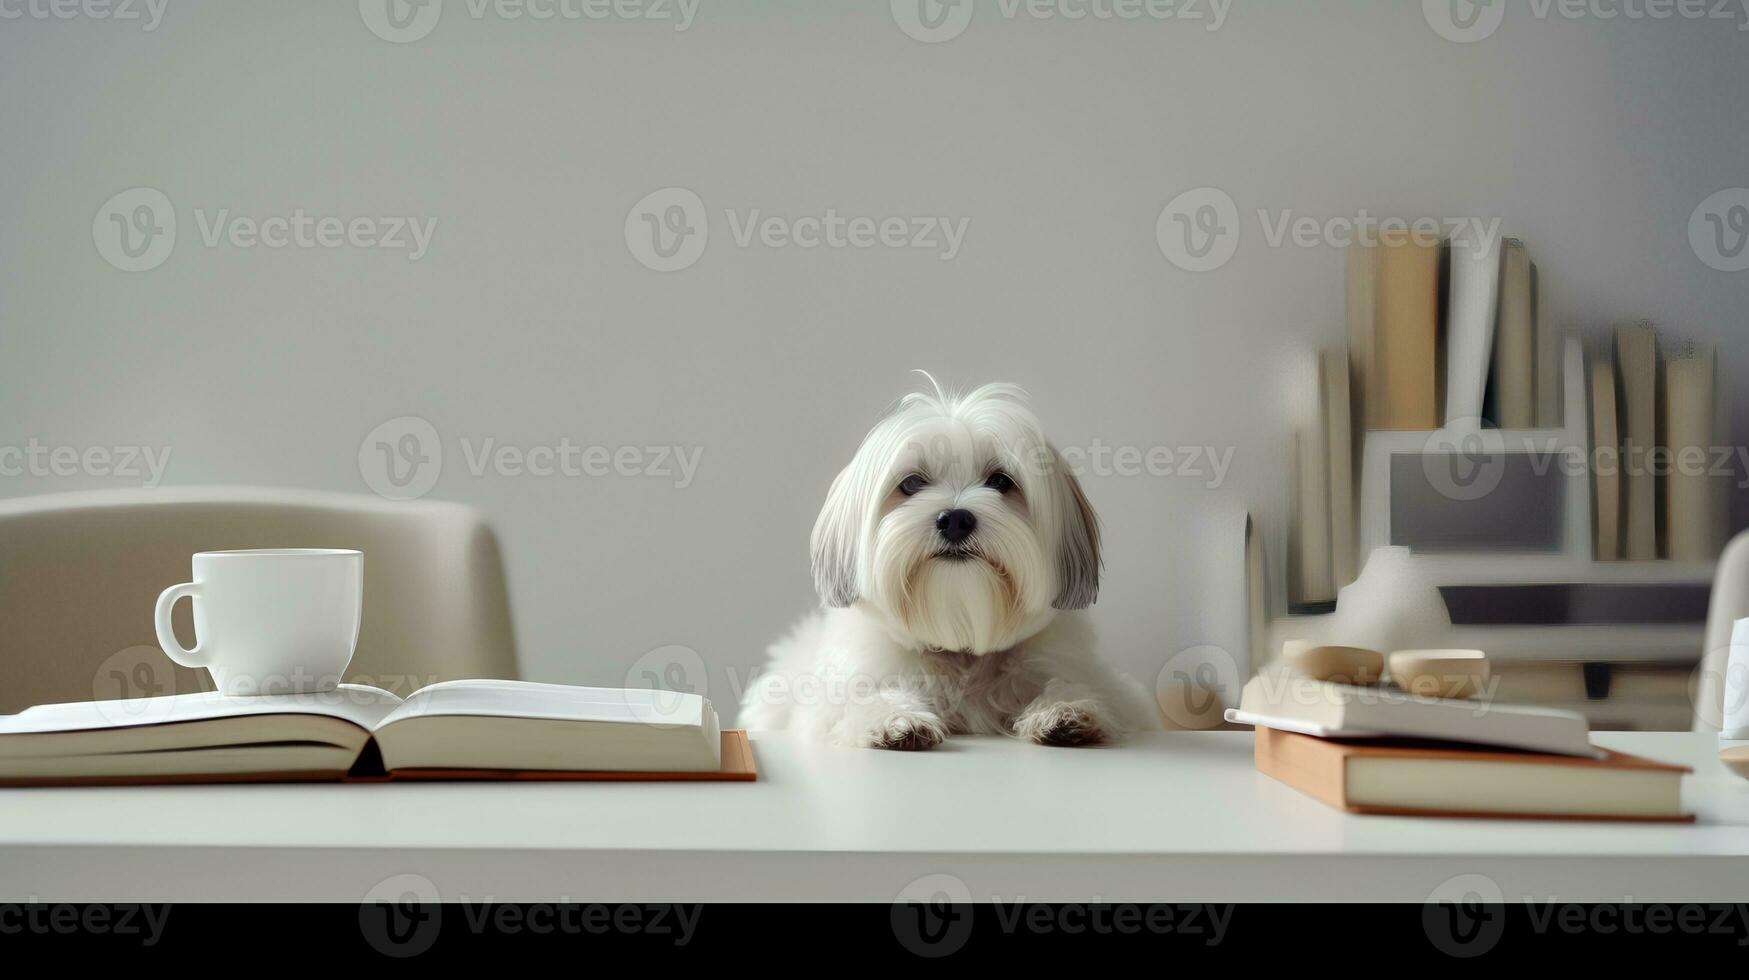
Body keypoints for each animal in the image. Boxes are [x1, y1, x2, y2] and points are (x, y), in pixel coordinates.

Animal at [741, 374, 1161, 749]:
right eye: (911, 483)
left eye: (1000, 481)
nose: (955, 519)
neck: (961, 647)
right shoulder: (834, 699)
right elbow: (862, 699)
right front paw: (894, 720)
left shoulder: (1102, 684)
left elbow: (1071, 687)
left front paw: (1065, 711)